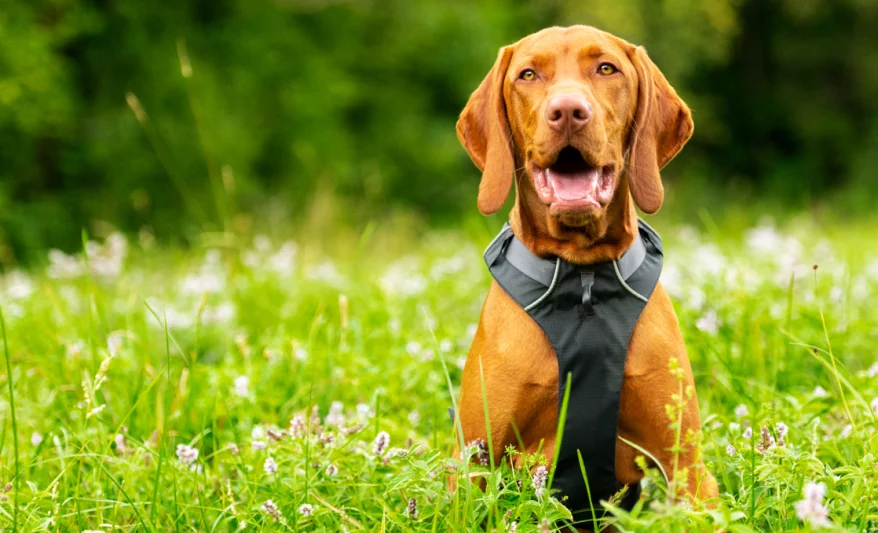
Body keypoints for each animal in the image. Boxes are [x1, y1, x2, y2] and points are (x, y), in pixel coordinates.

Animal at [458, 23, 720, 524]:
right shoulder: (475, 467)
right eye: (528, 74)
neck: (583, 281)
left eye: (606, 68)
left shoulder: (688, 469)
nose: (567, 112)